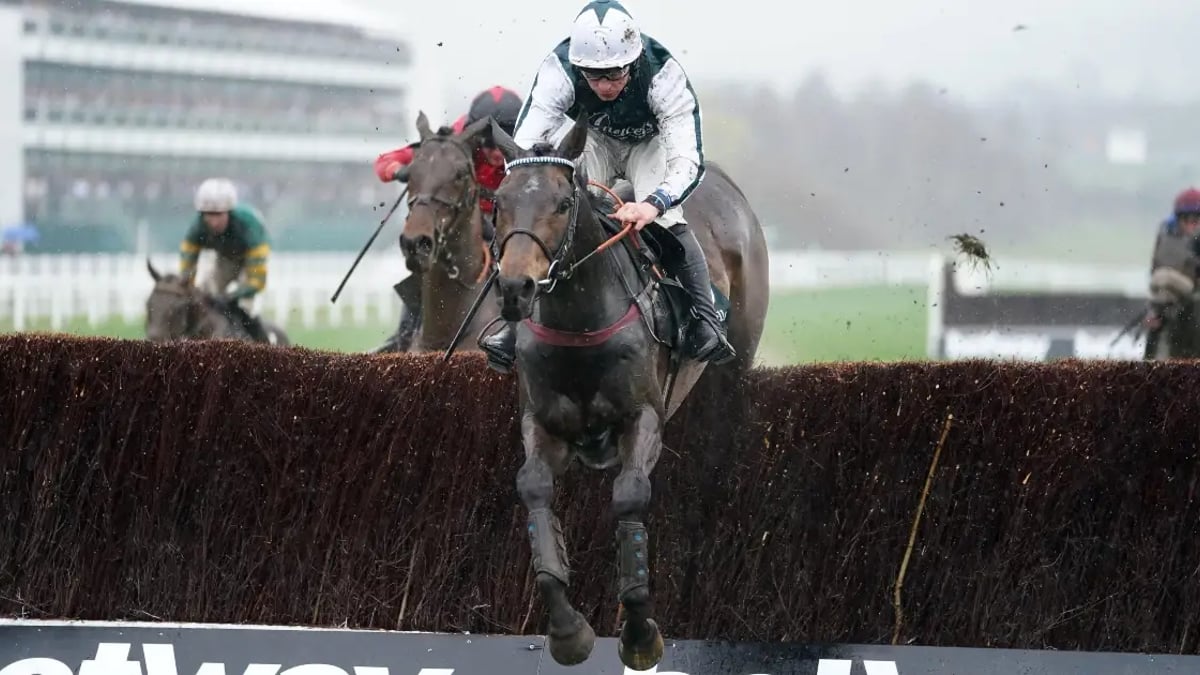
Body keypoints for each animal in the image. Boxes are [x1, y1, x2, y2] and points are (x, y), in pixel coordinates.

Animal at [484, 115, 770, 670]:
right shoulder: (542, 422)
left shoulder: (643, 418)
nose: (515, 288)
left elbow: (631, 496)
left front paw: (639, 632)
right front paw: (569, 632)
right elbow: (533, 489)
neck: (579, 322)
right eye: (499, 202)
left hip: (734, 369)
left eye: (562, 203)